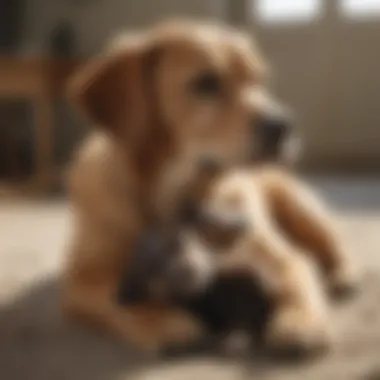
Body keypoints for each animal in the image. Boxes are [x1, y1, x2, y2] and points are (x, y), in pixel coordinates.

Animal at [63, 20, 358, 354]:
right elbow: (115, 296)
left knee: (329, 242)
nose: (284, 125)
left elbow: (295, 273)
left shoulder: (276, 253)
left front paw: (301, 320)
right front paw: (162, 320)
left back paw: (343, 274)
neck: (173, 196)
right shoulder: (79, 280)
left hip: (299, 206)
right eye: (206, 83)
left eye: (260, 80)